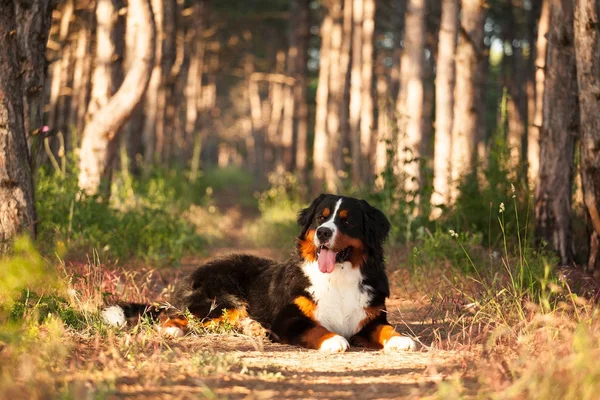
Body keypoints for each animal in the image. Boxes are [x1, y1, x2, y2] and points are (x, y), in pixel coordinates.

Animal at [103, 195, 418, 354]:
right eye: (320, 217)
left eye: (347, 221)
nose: (323, 232)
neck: (338, 278)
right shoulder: (288, 318)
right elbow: (316, 328)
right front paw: (333, 340)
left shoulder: (370, 318)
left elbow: (386, 328)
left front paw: (400, 339)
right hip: (223, 295)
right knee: (182, 314)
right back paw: (173, 327)